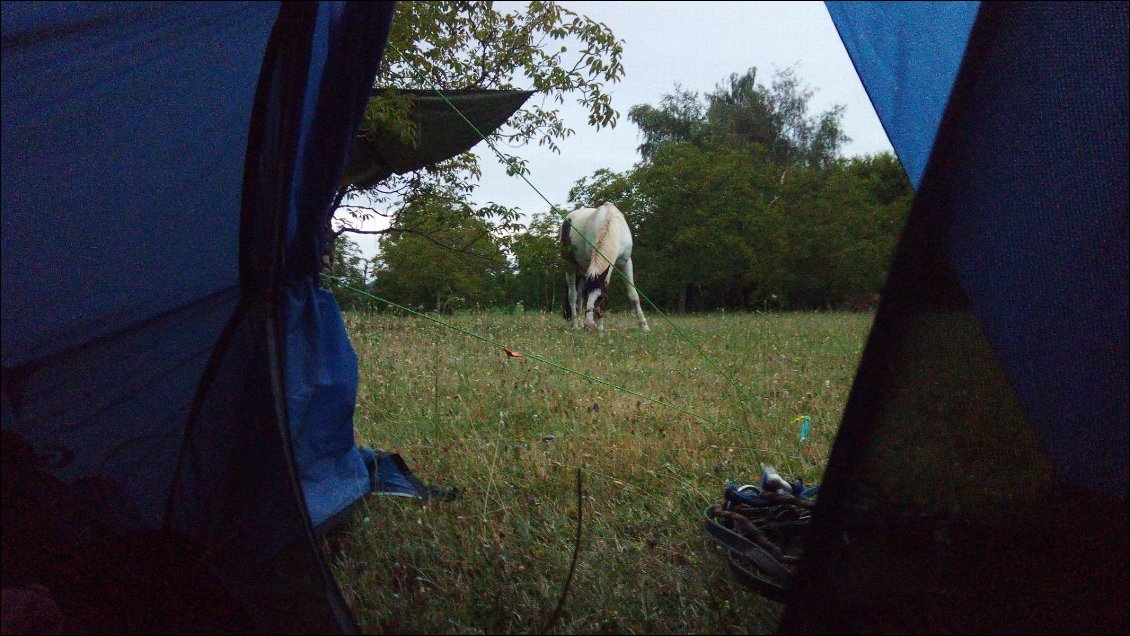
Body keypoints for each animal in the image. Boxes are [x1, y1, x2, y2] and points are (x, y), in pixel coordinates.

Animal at [558, 203, 650, 334]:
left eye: (601, 297)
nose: (590, 325)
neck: (612, 225)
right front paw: (601, 327)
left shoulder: (626, 263)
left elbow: (633, 295)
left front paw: (644, 327)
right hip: (570, 266)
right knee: (573, 295)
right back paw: (575, 325)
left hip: (582, 271)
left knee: (579, 296)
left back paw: (580, 324)